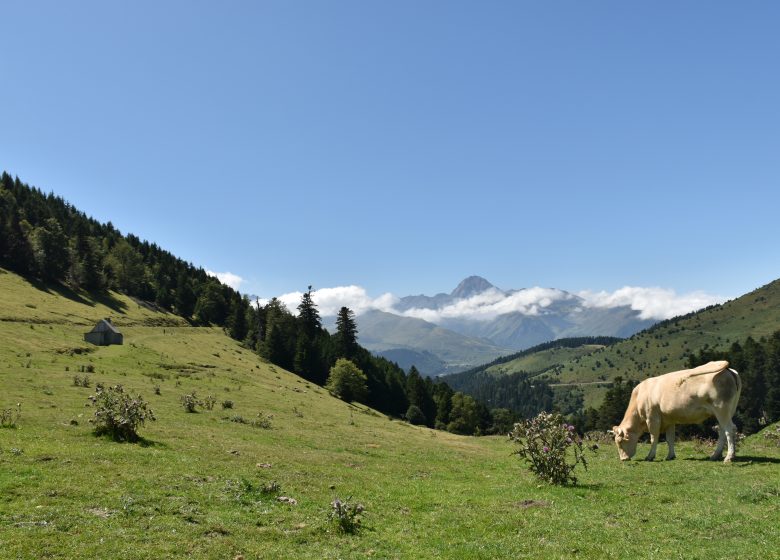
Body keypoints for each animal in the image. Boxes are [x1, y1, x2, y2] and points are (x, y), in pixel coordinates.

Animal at [612, 360, 740, 462]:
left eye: (620, 442)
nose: (623, 459)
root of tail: (729, 370)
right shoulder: (669, 419)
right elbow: (670, 439)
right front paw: (670, 456)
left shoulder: (652, 418)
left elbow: (653, 438)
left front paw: (650, 456)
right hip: (727, 411)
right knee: (722, 430)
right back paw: (715, 455)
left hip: (721, 408)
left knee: (729, 429)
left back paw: (729, 457)